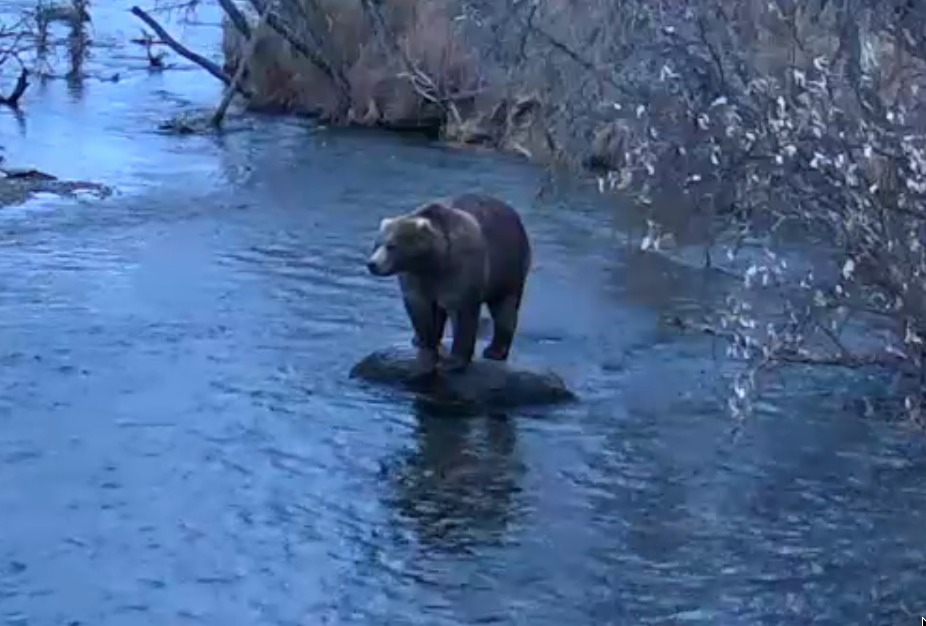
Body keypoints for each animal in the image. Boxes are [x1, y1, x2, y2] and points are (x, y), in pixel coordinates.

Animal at [366, 193, 532, 372]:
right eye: (376, 244)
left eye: (391, 246)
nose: (372, 264)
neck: (432, 260)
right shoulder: (415, 277)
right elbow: (420, 309)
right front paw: (425, 346)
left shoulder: (461, 269)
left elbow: (461, 312)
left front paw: (453, 361)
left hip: (507, 266)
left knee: (505, 308)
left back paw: (494, 351)